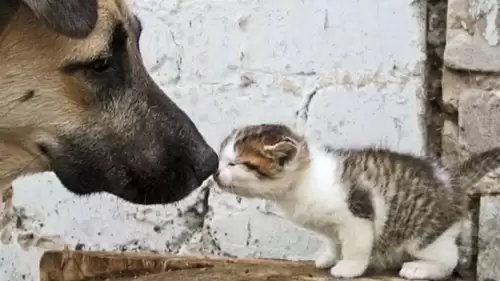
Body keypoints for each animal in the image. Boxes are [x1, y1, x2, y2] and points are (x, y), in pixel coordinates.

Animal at [213, 123, 500, 278]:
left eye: (235, 163)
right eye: (221, 159)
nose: (215, 173)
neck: (304, 181)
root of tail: (451, 180)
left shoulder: (357, 211)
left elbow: (356, 246)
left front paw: (348, 268)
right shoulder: (330, 226)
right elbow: (332, 241)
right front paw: (329, 257)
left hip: (424, 234)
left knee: (448, 258)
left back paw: (421, 269)